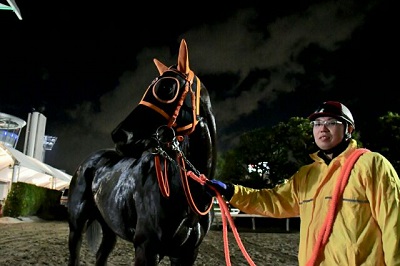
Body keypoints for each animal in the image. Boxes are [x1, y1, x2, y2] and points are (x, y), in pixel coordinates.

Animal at [69, 40, 219, 266]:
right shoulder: (146, 248)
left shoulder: (187, 253)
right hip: (76, 226)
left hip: (109, 227)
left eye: (166, 87)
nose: (119, 135)